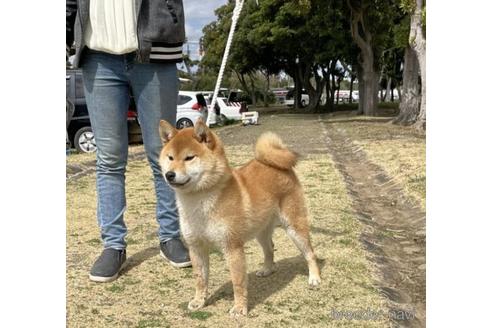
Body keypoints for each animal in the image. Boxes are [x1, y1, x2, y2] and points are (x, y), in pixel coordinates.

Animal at [158, 118, 320, 316]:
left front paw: (239, 307)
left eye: (189, 158)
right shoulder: (196, 247)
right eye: (170, 158)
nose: (169, 175)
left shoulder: (232, 247)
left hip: (294, 227)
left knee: (310, 253)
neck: (199, 202)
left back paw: (314, 278)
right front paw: (199, 301)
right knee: (269, 249)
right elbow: (200, 278)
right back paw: (267, 269)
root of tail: (276, 164)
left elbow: (238, 282)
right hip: (261, 232)